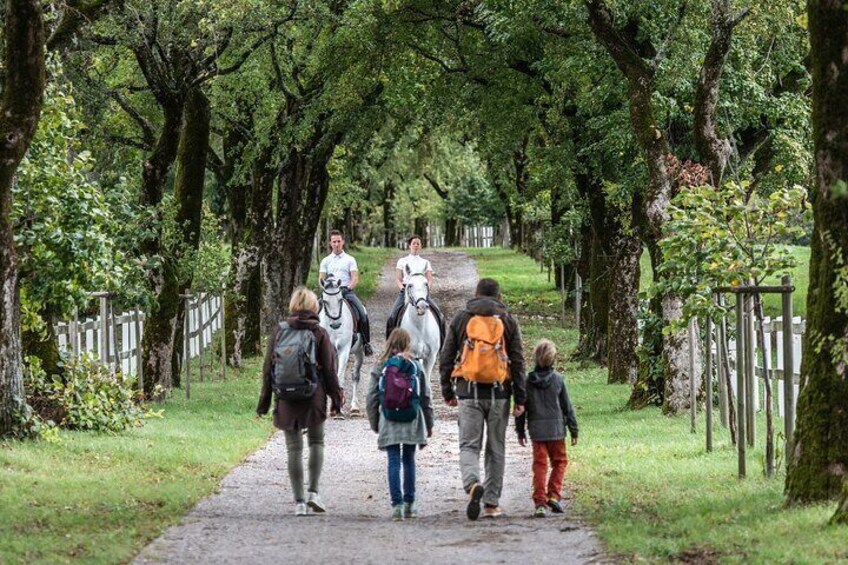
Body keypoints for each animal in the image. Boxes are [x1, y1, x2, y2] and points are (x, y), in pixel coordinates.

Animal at [318, 276, 364, 412]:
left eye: (340, 300)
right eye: (325, 301)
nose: (336, 324)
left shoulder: (344, 350)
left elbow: (340, 377)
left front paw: (339, 409)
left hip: (359, 352)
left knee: (355, 376)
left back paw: (354, 406)